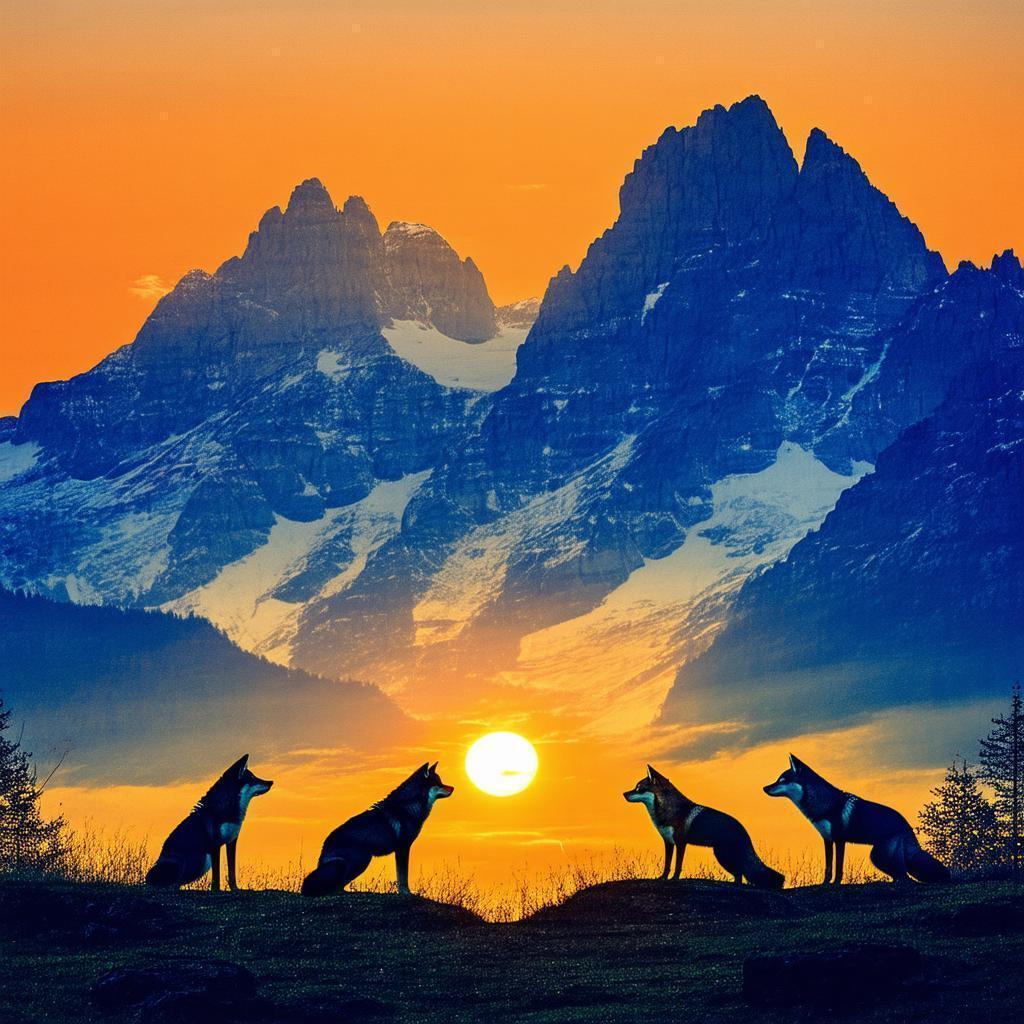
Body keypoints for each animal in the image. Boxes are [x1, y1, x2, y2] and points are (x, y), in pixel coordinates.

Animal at [145, 754, 273, 891]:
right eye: (253, 778)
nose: (271, 782)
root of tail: (147, 880)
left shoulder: (231, 841)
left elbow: (231, 872)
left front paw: (235, 889)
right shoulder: (215, 845)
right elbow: (216, 874)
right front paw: (216, 889)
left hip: (203, 862)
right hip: (188, 861)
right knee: (171, 884)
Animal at [301, 761, 454, 897]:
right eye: (438, 783)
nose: (453, 788)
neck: (409, 806)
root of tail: (323, 852)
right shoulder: (403, 848)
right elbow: (402, 876)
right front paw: (406, 893)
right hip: (360, 860)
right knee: (337, 886)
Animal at [624, 765, 784, 889]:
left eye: (638, 788)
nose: (624, 794)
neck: (668, 811)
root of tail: (744, 829)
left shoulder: (681, 843)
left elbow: (677, 865)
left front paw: (674, 879)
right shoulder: (668, 842)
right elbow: (667, 865)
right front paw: (662, 878)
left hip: (722, 855)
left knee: (740, 872)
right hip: (723, 856)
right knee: (739, 873)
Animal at [763, 754, 950, 885]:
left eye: (782, 780)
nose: (764, 788)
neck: (825, 805)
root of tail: (907, 825)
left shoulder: (840, 840)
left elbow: (838, 868)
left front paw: (836, 884)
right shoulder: (827, 840)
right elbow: (828, 868)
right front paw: (825, 884)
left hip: (877, 856)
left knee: (905, 878)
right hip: (879, 858)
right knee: (901, 876)